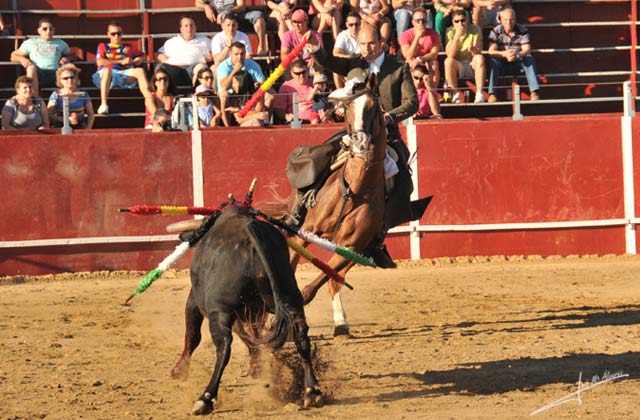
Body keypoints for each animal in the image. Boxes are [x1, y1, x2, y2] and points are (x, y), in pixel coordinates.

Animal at [170, 205, 322, 416]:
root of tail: (250, 234)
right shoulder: (252, 310)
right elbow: (250, 335)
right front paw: (256, 367)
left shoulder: (196, 301)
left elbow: (192, 336)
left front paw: (179, 370)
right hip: (290, 297)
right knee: (301, 335)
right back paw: (311, 391)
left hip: (220, 310)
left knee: (224, 347)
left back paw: (205, 398)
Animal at [288, 77, 384, 336]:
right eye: (349, 107)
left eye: (373, 107)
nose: (360, 142)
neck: (355, 189)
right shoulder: (307, 231)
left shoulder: (350, 245)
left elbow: (319, 282)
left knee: (335, 280)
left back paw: (341, 322)